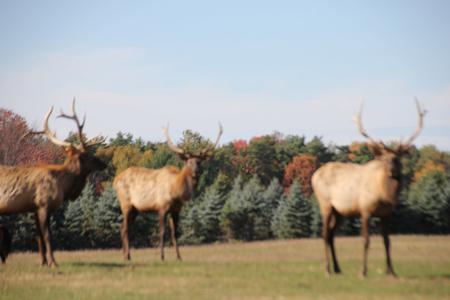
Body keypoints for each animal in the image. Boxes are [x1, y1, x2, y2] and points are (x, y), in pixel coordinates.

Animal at [0, 101, 106, 268]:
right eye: (86, 154)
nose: (104, 163)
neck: (63, 185)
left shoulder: (34, 208)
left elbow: (39, 237)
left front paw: (44, 262)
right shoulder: (44, 204)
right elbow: (48, 236)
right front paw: (53, 263)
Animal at [114, 123, 223, 262]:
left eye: (199, 162)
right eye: (189, 162)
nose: (195, 173)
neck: (176, 191)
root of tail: (115, 180)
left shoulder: (176, 210)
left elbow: (175, 233)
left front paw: (179, 257)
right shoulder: (162, 207)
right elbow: (162, 232)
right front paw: (161, 257)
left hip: (135, 209)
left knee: (122, 227)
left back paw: (126, 256)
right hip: (126, 204)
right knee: (126, 228)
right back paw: (127, 256)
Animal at [312, 99, 428, 278]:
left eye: (397, 158)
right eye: (385, 158)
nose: (392, 171)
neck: (385, 195)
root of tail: (314, 175)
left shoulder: (386, 213)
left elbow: (387, 240)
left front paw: (391, 271)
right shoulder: (365, 209)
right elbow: (366, 240)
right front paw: (363, 271)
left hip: (340, 212)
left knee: (331, 234)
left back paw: (338, 268)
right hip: (325, 204)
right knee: (324, 234)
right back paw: (327, 270)